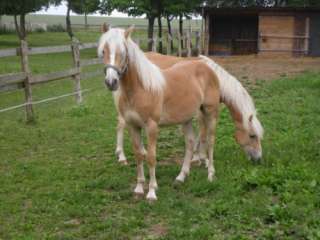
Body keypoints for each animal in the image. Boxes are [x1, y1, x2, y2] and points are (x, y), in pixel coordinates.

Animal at [99, 24, 264, 201]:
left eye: (123, 52)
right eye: (103, 51)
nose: (111, 81)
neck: (141, 88)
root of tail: (208, 70)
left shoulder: (152, 126)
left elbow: (152, 157)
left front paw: (151, 192)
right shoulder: (133, 125)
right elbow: (139, 155)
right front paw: (139, 188)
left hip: (208, 112)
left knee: (209, 141)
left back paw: (209, 174)